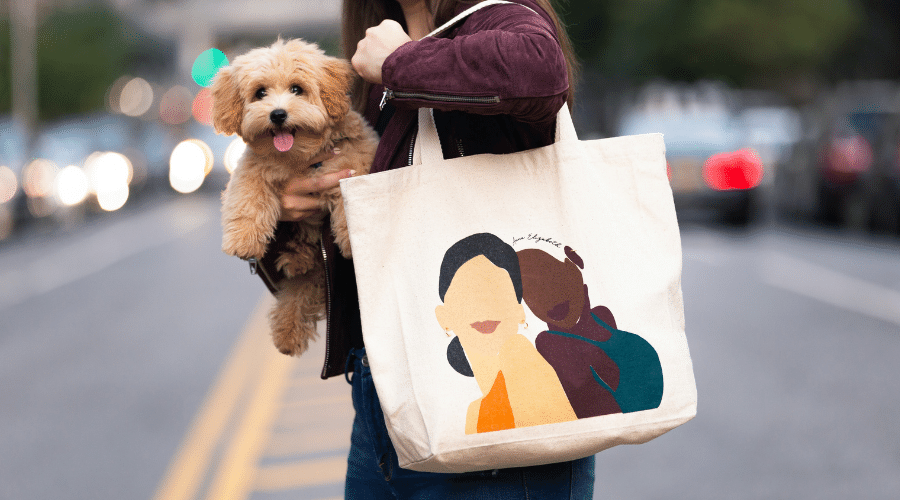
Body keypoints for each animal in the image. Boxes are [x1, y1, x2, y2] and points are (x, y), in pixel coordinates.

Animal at [211, 40, 376, 360]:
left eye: (297, 89)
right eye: (260, 92)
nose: (277, 114)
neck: (297, 157)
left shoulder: (353, 159)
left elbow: (349, 194)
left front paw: (352, 240)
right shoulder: (252, 168)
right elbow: (246, 197)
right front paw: (243, 240)